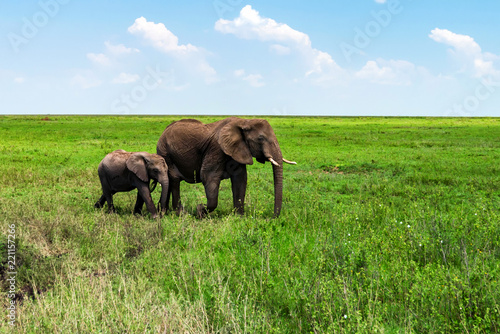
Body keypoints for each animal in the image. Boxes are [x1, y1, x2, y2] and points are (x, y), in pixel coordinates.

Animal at [158, 117, 294, 219]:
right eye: (261, 138)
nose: (272, 217)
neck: (245, 121)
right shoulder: (216, 148)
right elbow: (208, 176)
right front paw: (200, 211)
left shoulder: (237, 149)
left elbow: (240, 179)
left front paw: (239, 217)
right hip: (165, 152)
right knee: (175, 179)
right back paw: (180, 214)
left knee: (169, 180)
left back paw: (164, 212)